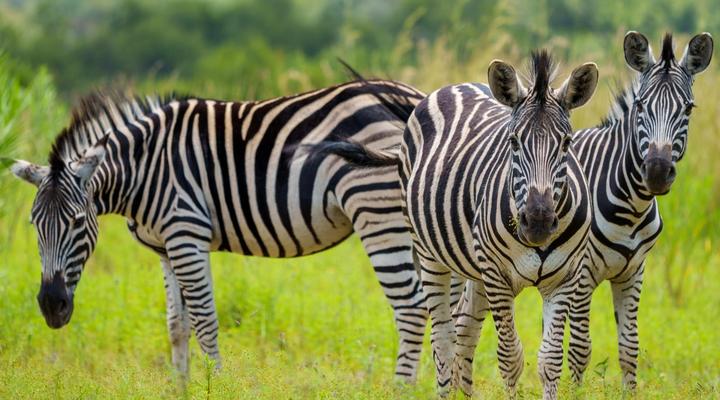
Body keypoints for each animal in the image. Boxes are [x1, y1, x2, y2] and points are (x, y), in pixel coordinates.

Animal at [9, 79, 432, 382]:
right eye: (34, 226)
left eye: (78, 222)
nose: (51, 307)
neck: (144, 169)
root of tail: (413, 97)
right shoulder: (166, 249)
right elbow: (177, 326)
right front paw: (180, 389)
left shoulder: (186, 236)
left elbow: (206, 324)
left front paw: (216, 386)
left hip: (377, 211)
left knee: (411, 309)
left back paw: (402, 389)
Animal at [314, 50, 599, 399]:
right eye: (513, 142)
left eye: (567, 143)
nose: (539, 222)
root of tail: (453, 87)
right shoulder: (498, 277)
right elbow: (510, 357)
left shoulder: (564, 279)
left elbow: (549, 360)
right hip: (432, 257)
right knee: (444, 340)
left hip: (471, 268)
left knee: (464, 333)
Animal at [453, 32, 714, 392]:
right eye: (641, 105)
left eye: (688, 109)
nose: (658, 172)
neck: (632, 206)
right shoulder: (582, 274)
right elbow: (579, 349)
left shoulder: (634, 272)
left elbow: (629, 346)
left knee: (466, 322)